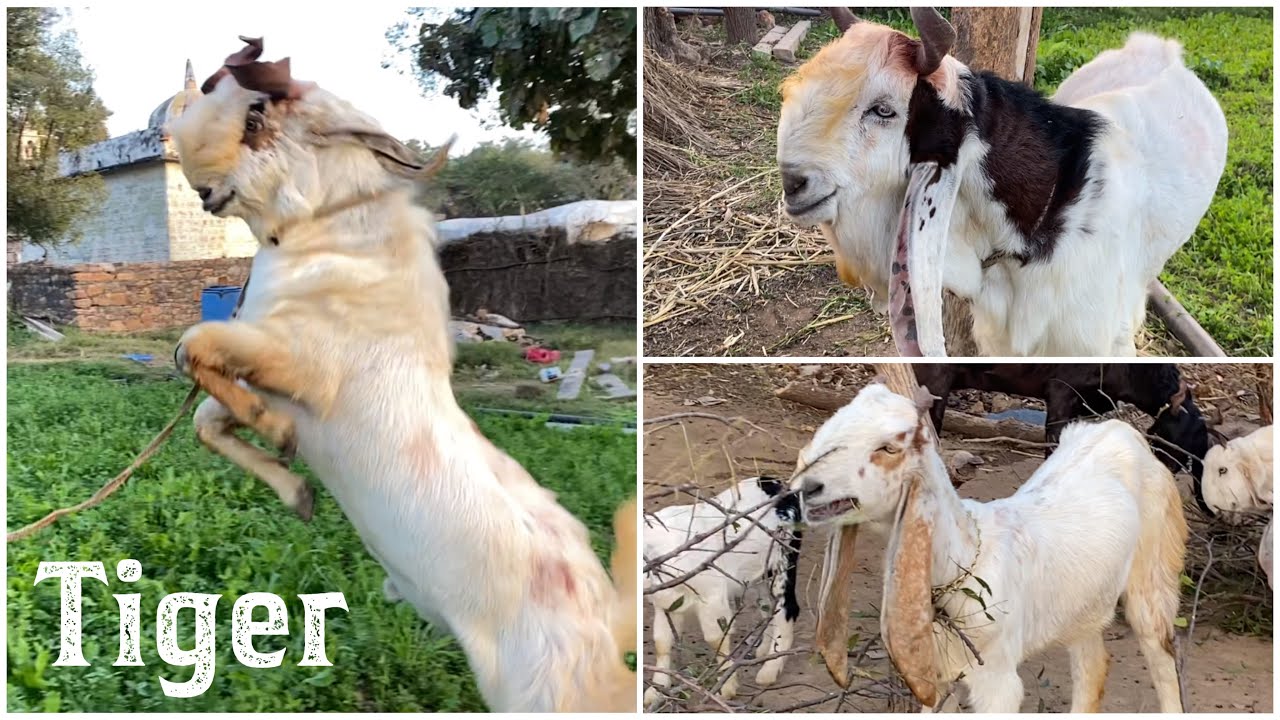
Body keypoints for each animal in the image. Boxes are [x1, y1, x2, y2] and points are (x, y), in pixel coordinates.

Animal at [166, 37, 635, 712]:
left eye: (256, 117)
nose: (204, 193)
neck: (335, 238)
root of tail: (607, 624)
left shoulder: (302, 363)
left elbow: (191, 348)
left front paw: (278, 436)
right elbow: (207, 417)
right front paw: (296, 487)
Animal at [643, 476, 802, 704]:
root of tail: (777, 485)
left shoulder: (711, 595)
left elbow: (715, 637)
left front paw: (726, 688)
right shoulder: (665, 600)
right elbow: (662, 641)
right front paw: (656, 690)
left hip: (782, 561)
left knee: (787, 608)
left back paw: (769, 670)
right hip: (757, 575)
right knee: (767, 607)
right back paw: (764, 651)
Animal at [792, 382, 1187, 712]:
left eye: (888, 448)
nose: (808, 486)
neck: (964, 563)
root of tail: (1119, 429)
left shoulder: (997, 681)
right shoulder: (942, 671)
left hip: (1152, 573)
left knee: (1161, 657)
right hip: (1084, 605)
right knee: (1092, 667)